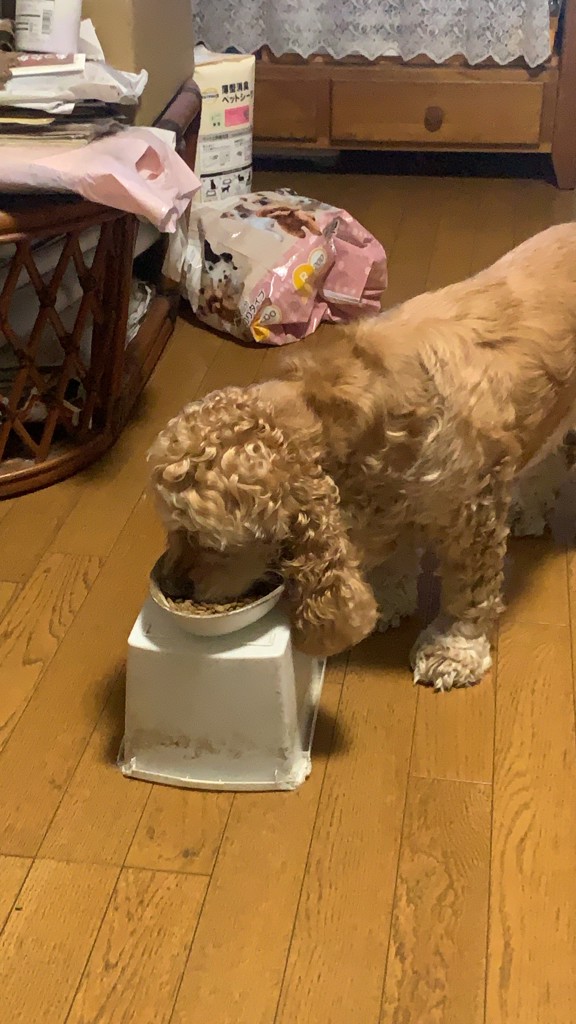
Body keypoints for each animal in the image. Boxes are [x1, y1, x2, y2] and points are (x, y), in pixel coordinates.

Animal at [149, 223, 576, 691]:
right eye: (171, 527)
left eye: (208, 540)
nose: (170, 585)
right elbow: (392, 558)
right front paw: (390, 599)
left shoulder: (472, 515)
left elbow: (470, 592)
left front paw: (452, 651)